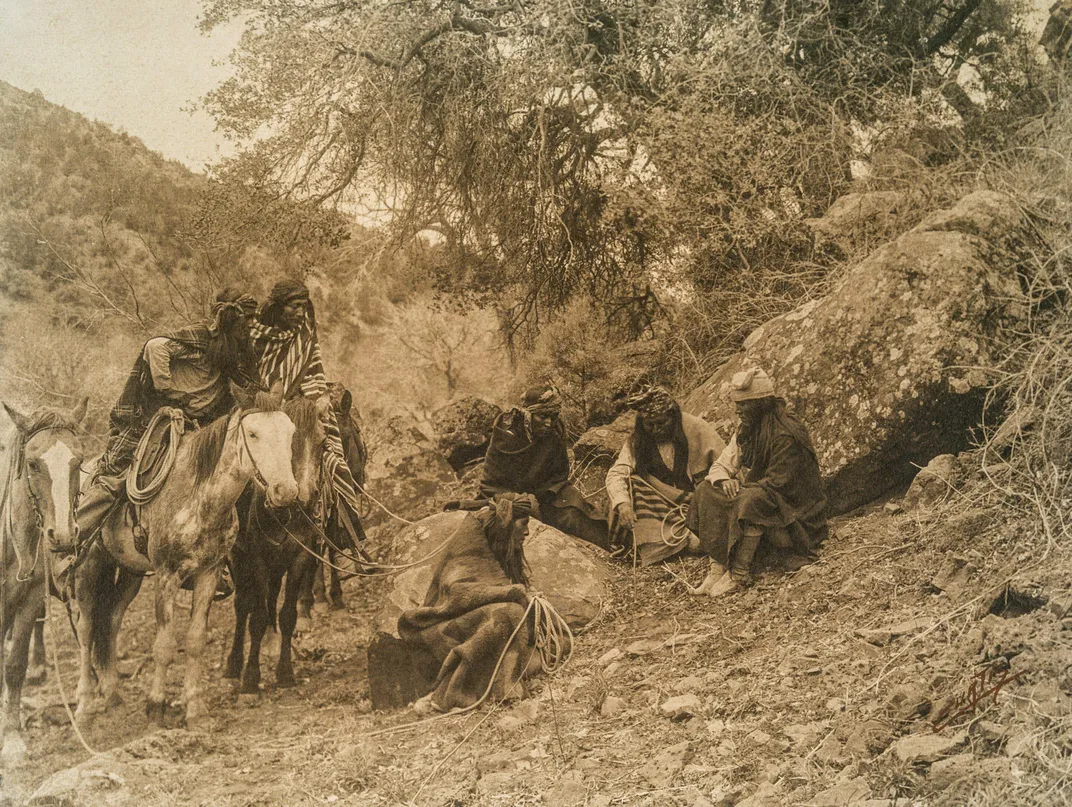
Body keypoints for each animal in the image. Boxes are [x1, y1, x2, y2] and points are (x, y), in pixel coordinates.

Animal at [76, 383, 300, 724]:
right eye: (253, 433)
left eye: (290, 432)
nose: (285, 491)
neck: (198, 497)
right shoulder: (167, 576)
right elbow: (164, 645)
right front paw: (156, 705)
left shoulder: (209, 572)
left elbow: (195, 640)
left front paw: (195, 707)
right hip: (89, 567)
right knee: (87, 628)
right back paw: (85, 704)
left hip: (129, 572)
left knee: (111, 620)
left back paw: (113, 695)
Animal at [225, 394, 321, 690]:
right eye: (294, 440)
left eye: (322, 441)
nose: (300, 493)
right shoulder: (257, 560)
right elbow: (254, 617)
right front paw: (250, 677)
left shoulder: (299, 556)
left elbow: (288, 615)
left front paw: (285, 672)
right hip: (238, 558)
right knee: (242, 605)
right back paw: (233, 664)